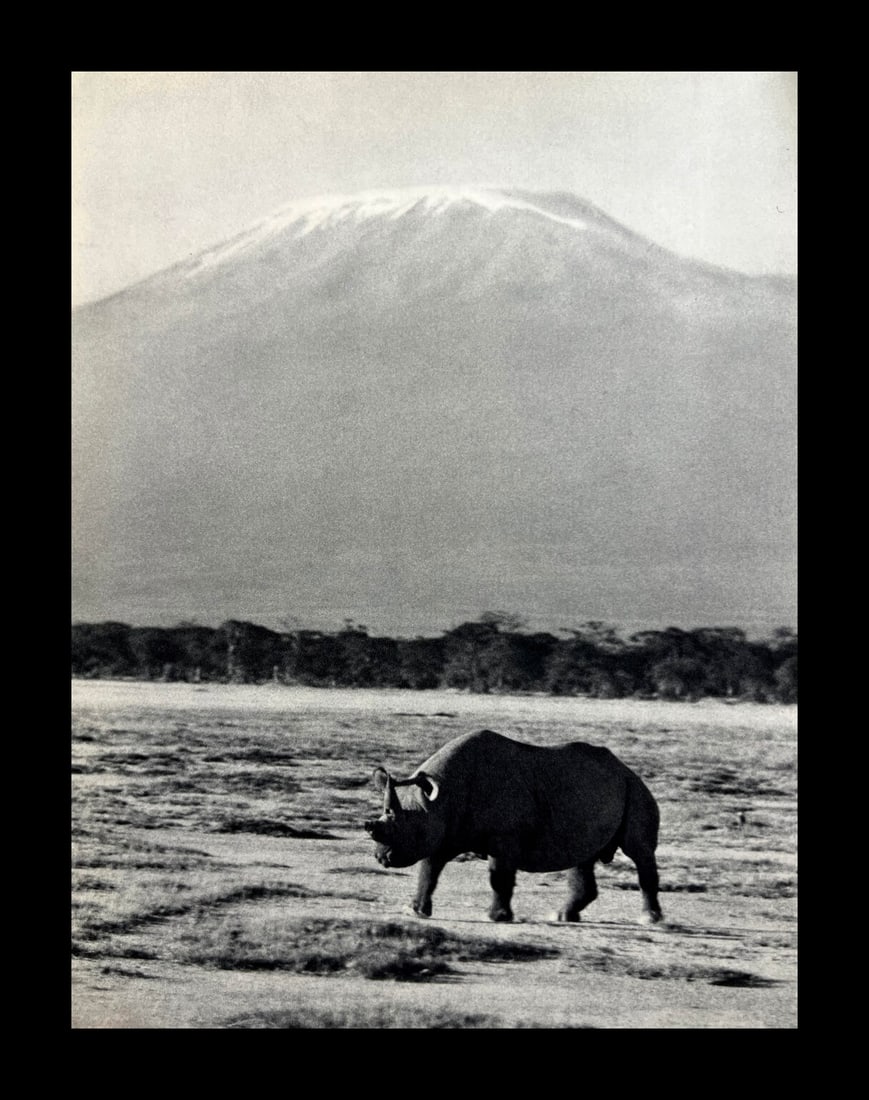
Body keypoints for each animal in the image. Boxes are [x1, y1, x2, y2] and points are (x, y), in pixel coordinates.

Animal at [364, 729, 662, 924]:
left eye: (410, 826)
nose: (381, 857)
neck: (444, 795)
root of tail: (626, 769)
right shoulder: (446, 830)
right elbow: (429, 871)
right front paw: (415, 910)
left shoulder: (504, 837)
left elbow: (500, 876)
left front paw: (497, 917)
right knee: (583, 859)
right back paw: (563, 917)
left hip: (635, 791)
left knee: (638, 852)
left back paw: (650, 919)